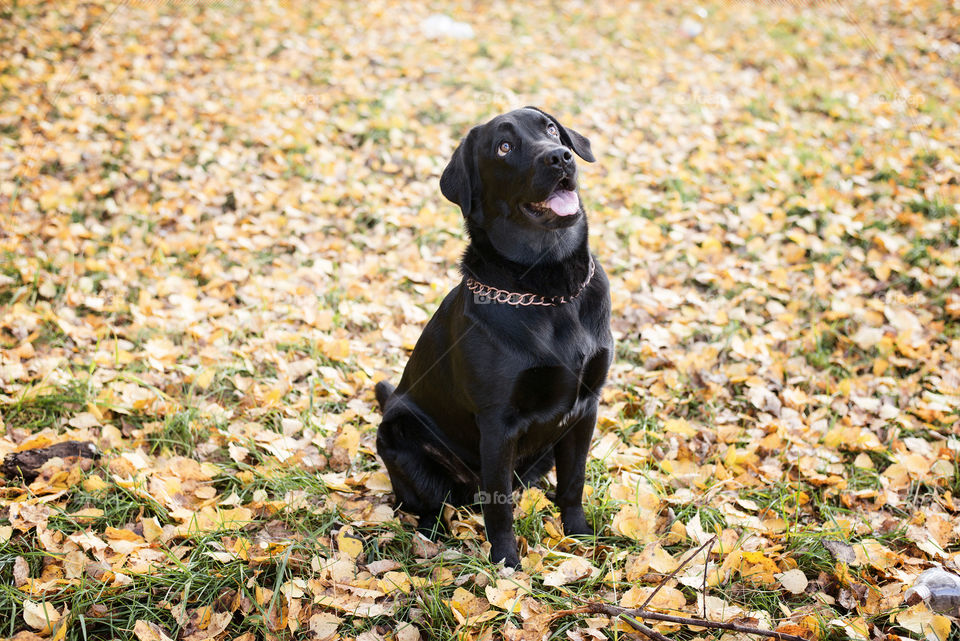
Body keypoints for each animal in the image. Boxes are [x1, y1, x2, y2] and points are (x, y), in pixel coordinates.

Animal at [376, 106, 616, 564]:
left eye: (551, 130)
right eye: (504, 147)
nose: (560, 157)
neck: (550, 291)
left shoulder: (586, 406)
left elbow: (573, 481)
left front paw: (578, 537)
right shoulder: (497, 424)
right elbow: (499, 505)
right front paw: (505, 562)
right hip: (398, 432)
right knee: (426, 507)